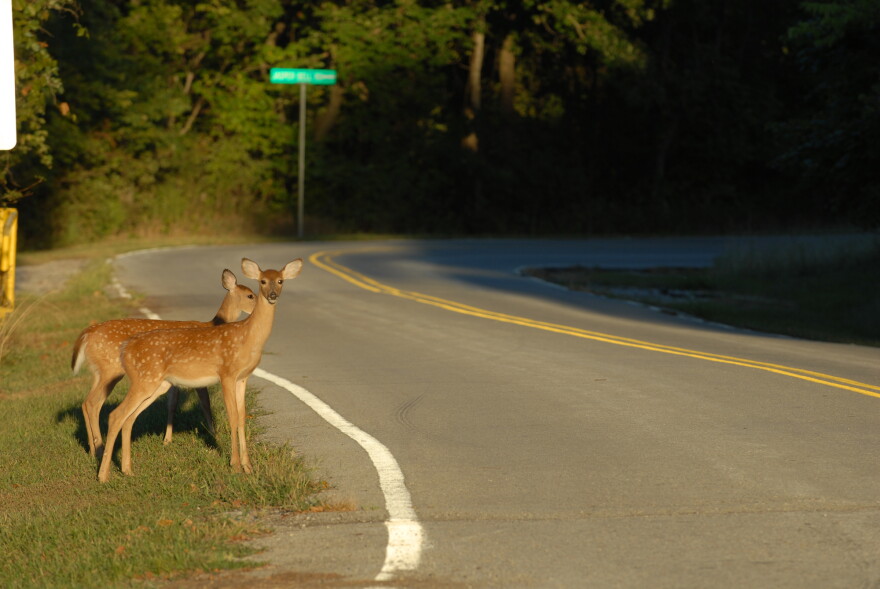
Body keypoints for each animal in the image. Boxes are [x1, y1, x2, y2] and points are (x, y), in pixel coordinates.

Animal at [72, 269, 256, 459]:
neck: (213, 324)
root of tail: (87, 333)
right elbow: (205, 403)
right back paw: (100, 449)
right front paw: (214, 435)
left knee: (87, 402)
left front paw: (167, 440)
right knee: (93, 403)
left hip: (99, 371)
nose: (259, 306)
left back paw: (93, 449)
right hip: (111, 369)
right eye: (250, 295)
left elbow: (172, 404)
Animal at [97, 258, 303, 483]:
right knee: (116, 415)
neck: (247, 337)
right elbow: (232, 416)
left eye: (281, 281)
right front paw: (235, 465)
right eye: (262, 282)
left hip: (158, 384)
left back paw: (127, 470)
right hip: (144, 379)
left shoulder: (243, 378)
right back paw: (103, 476)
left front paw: (248, 466)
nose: (272, 295)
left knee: (128, 418)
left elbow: (241, 417)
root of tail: (125, 349)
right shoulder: (226, 373)